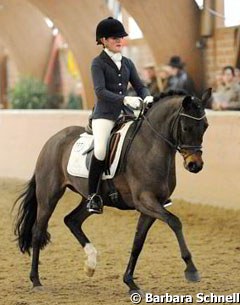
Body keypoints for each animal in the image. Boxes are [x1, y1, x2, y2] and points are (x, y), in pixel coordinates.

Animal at [14, 88, 211, 292]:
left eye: (205, 126)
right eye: (186, 128)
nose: (195, 165)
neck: (151, 146)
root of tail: (53, 140)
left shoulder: (152, 206)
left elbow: (138, 242)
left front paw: (130, 282)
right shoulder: (145, 200)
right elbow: (175, 222)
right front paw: (191, 269)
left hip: (90, 199)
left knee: (72, 220)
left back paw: (91, 264)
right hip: (48, 196)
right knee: (38, 232)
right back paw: (36, 280)